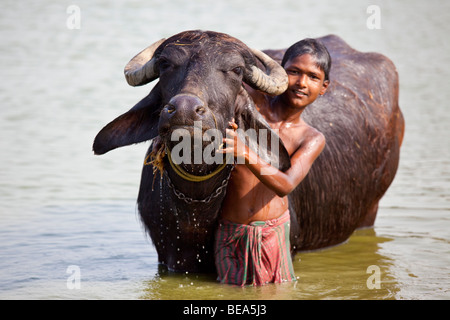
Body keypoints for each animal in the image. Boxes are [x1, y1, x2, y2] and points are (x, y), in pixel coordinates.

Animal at [92, 30, 404, 272]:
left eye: (236, 70)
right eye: (166, 64)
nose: (184, 109)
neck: (195, 208)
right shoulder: (168, 258)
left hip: (370, 210)